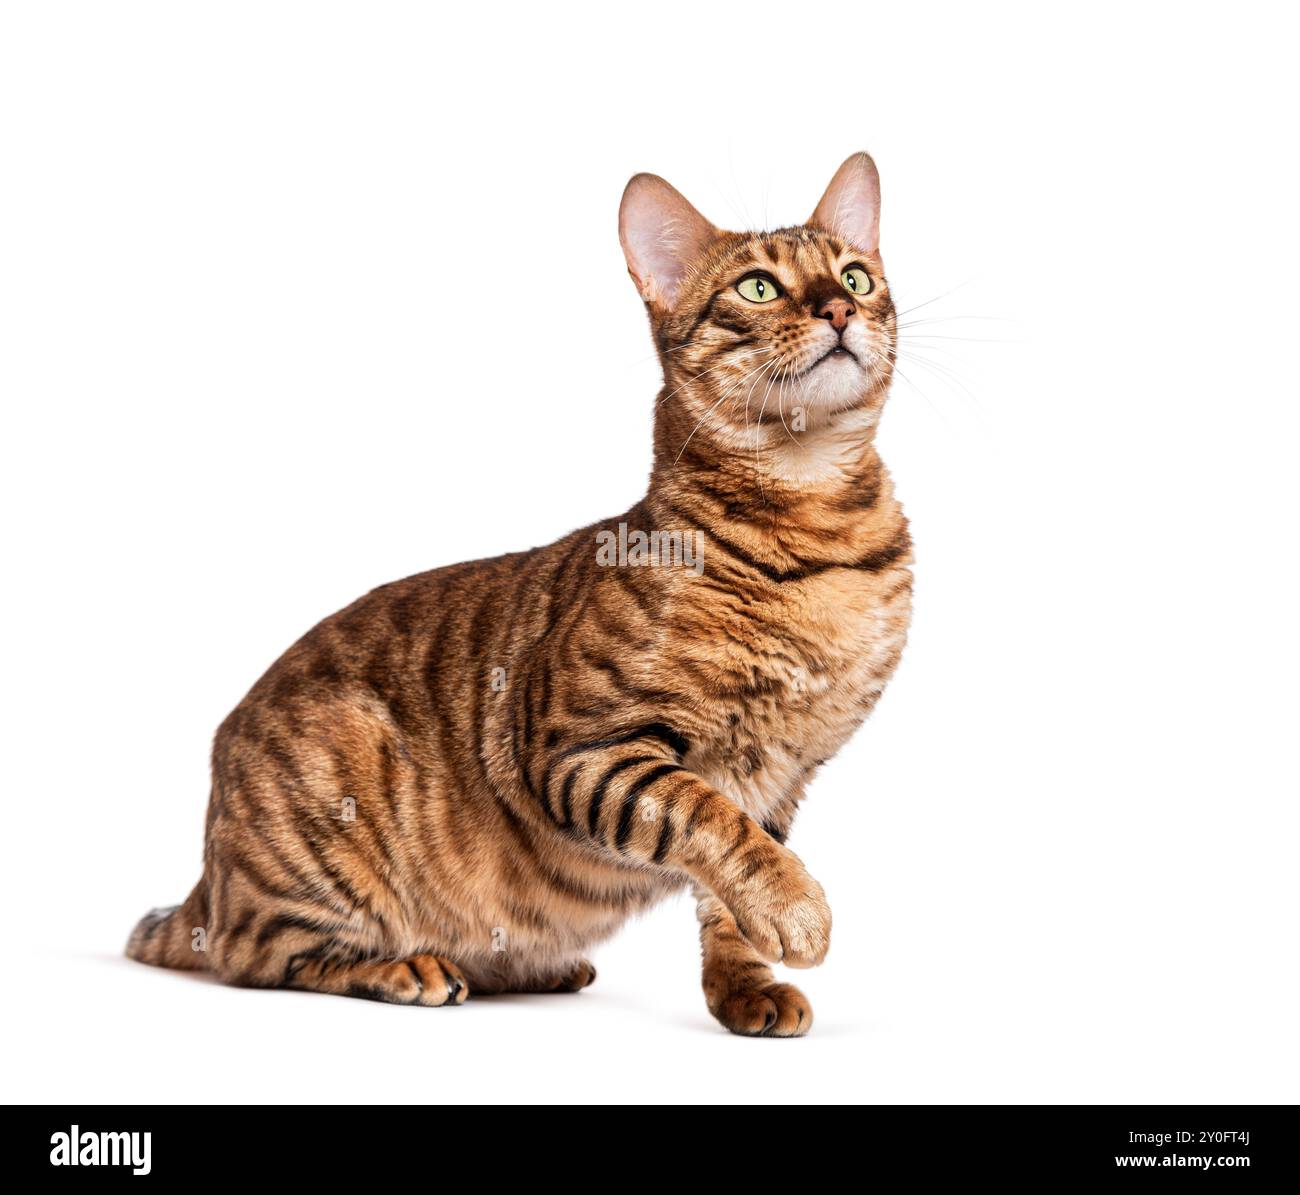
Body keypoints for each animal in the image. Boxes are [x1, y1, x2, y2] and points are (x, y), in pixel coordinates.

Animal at [126, 152, 909, 1035]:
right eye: (759, 287)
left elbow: (727, 891)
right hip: (331, 792)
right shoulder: (583, 746)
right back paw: (408, 967)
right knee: (258, 954)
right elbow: (711, 820)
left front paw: (748, 983)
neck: (818, 533)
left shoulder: (779, 777)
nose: (841, 305)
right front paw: (796, 907)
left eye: (856, 275)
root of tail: (209, 871)